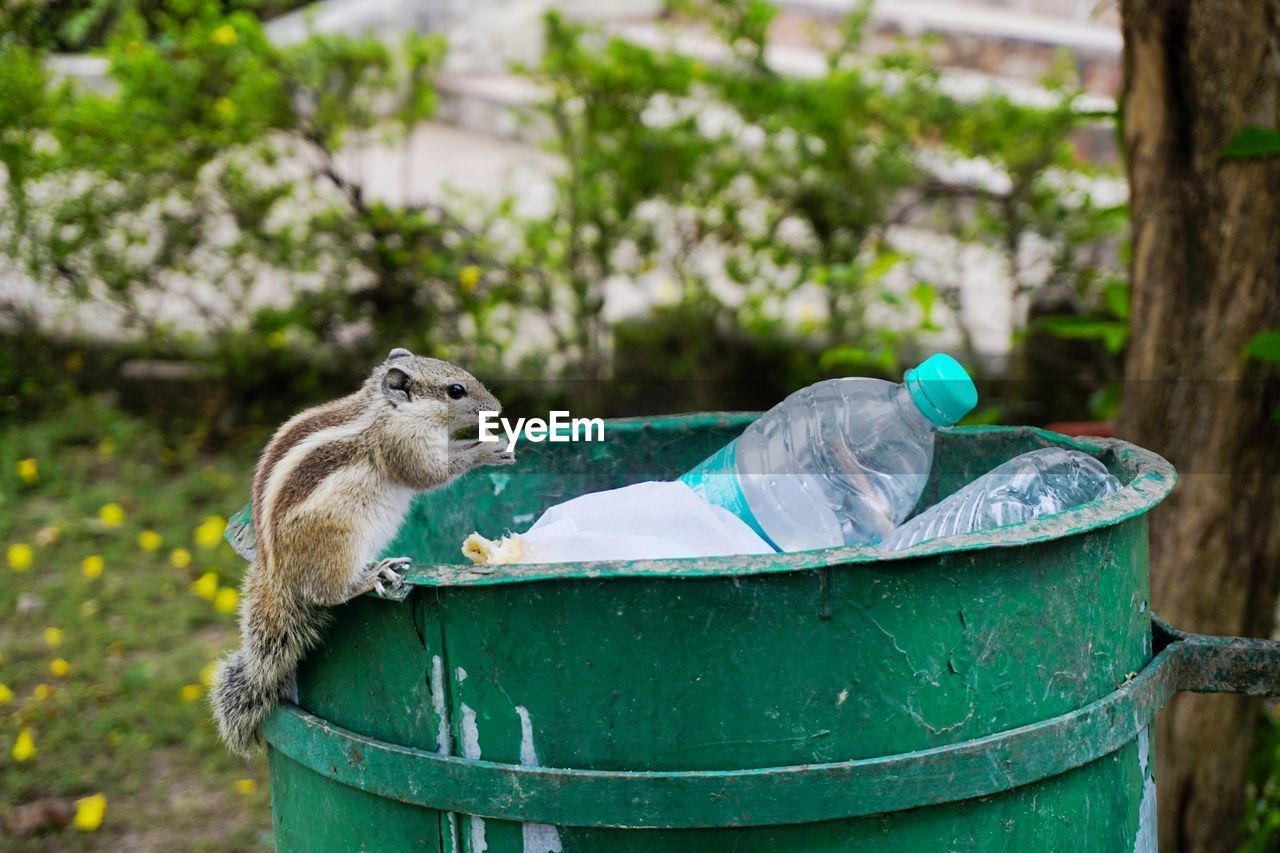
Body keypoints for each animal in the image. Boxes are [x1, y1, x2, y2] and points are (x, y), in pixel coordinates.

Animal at [208, 348, 509, 753]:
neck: (386, 410)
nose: (498, 409)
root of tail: (276, 573)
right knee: (328, 593)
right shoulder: (403, 446)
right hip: (340, 541)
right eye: (456, 390)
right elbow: (432, 474)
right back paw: (373, 573)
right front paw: (487, 450)